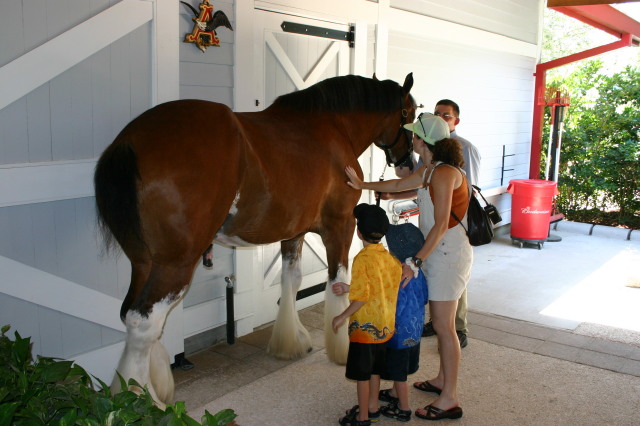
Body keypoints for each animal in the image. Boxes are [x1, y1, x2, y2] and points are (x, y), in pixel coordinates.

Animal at [94, 73, 417, 405]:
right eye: (410, 114)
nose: (407, 163)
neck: (332, 126)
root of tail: (130, 142)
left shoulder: (294, 233)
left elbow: (291, 281)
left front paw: (290, 342)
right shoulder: (339, 226)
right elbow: (339, 283)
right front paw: (343, 348)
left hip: (143, 261)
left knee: (132, 316)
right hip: (175, 263)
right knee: (144, 321)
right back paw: (144, 400)